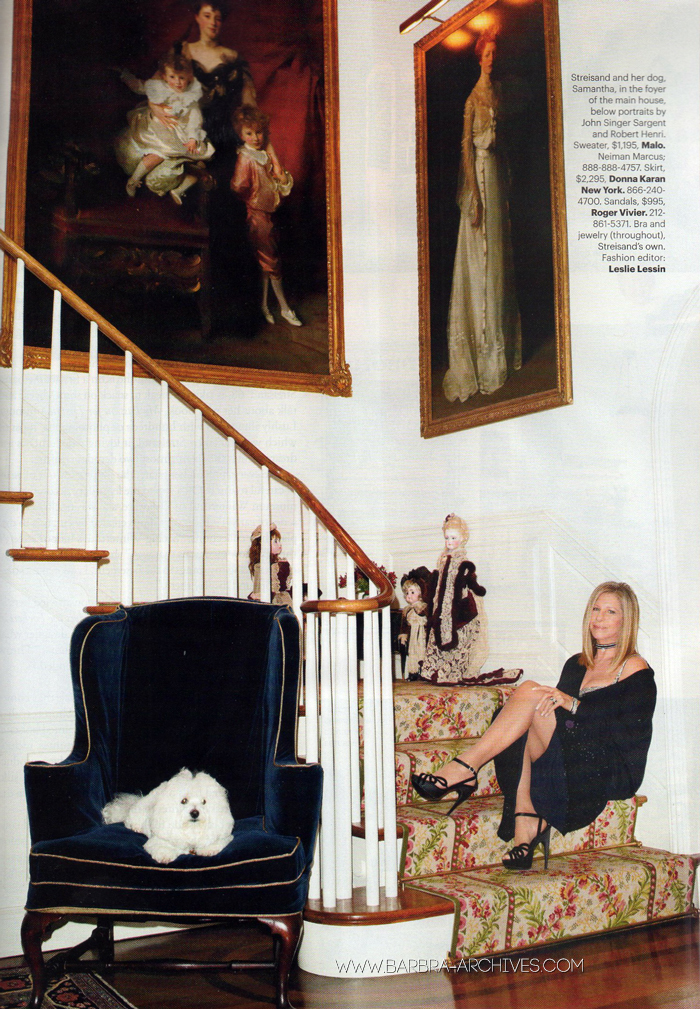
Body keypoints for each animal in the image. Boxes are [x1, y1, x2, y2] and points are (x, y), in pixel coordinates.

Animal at [102, 766, 236, 863]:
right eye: (184, 801)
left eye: (204, 802)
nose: (194, 813)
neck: (191, 830)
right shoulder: (159, 839)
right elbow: (162, 847)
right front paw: (164, 856)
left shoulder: (222, 836)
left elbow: (216, 841)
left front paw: (208, 850)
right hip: (138, 812)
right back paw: (136, 827)